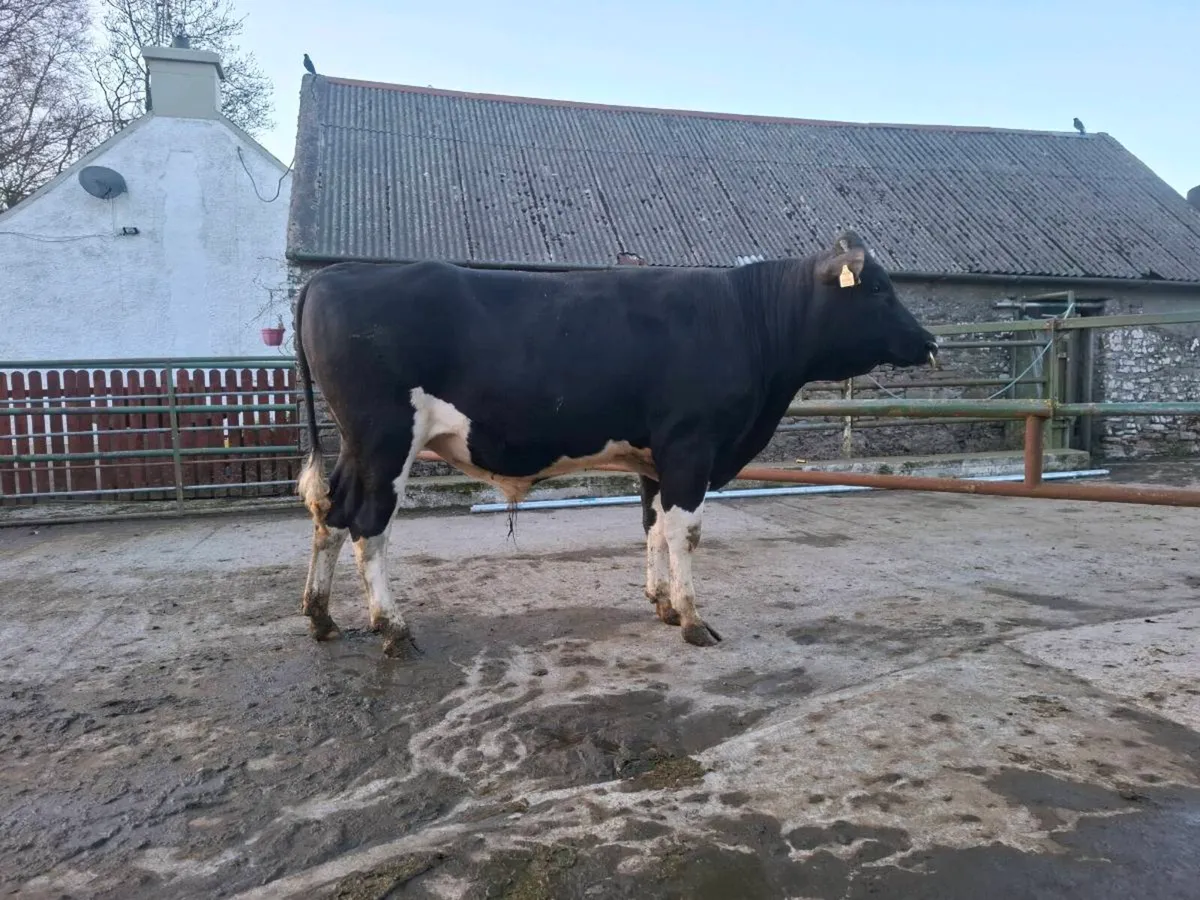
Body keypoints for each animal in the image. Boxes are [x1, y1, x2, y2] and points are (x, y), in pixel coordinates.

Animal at [294, 231, 939, 658]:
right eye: (877, 289)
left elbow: (653, 526)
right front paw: (693, 620)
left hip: (356, 445)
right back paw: (393, 627)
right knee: (369, 526)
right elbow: (686, 532)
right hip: (385, 439)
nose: (930, 342)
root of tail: (336, 273)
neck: (745, 319)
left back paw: (321, 618)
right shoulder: (691, 445)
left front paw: (662, 603)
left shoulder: (655, 455)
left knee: (331, 512)